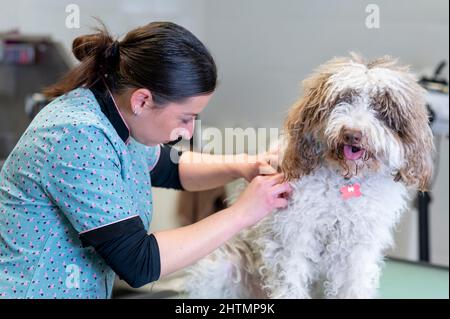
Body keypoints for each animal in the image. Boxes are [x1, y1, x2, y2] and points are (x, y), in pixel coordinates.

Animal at [183, 53, 432, 298]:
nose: (352, 134)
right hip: (219, 268)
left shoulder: (357, 249)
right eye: (342, 100)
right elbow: (290, 283)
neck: (345, 181)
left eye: (380, 107)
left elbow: (352, 285)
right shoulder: (291, 239)